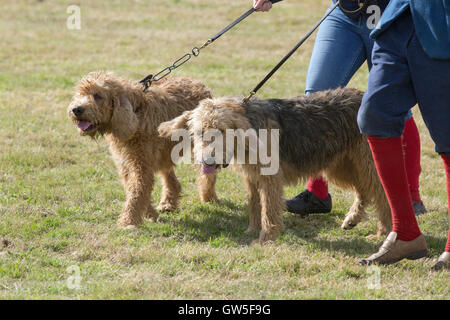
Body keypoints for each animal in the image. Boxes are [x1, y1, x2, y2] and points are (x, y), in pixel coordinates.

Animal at [67, 72, 219, 228]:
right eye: (81, 93)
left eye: (98, 95)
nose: (76, 109)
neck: (136, 113)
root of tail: (198, 84)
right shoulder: (127, 164)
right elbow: (135, 190)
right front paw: (149, 214)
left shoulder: (141, 166)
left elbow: (137, 192)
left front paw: (128, 222)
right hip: (164, 152)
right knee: (171, 178)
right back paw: (168, 204)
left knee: (208, 174)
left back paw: (209, 197)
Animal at [158, 87, 390, 242]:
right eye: (199, 131)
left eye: (222, 130)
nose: (208, 160)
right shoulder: (252, 178)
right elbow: (254, 205)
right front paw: (252, 230)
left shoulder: (270, 179)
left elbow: (268, 208)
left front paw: (267, 236)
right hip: (340, 166)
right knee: (364, 192)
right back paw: (352, 219)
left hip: (364, 164)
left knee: (382, 195)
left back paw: (382, 232)